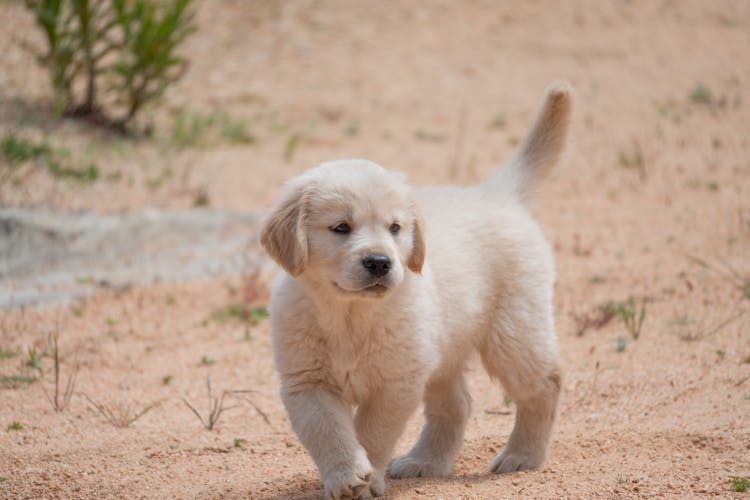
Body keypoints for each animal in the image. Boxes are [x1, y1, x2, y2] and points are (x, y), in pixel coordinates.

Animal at [262, 81, 572, 496]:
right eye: (341, 227)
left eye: (395, 228)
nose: (380, 262)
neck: (349, 314)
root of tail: (496, 193)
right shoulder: (307, 382)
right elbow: (329, 433)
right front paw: (346, 477)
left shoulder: (396, 382)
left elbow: (371, 433)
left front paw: (368, 480)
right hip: (442, 350)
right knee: (457, 404)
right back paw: (425, 461)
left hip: (514, 332)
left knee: (545, 384)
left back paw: (522, 456)